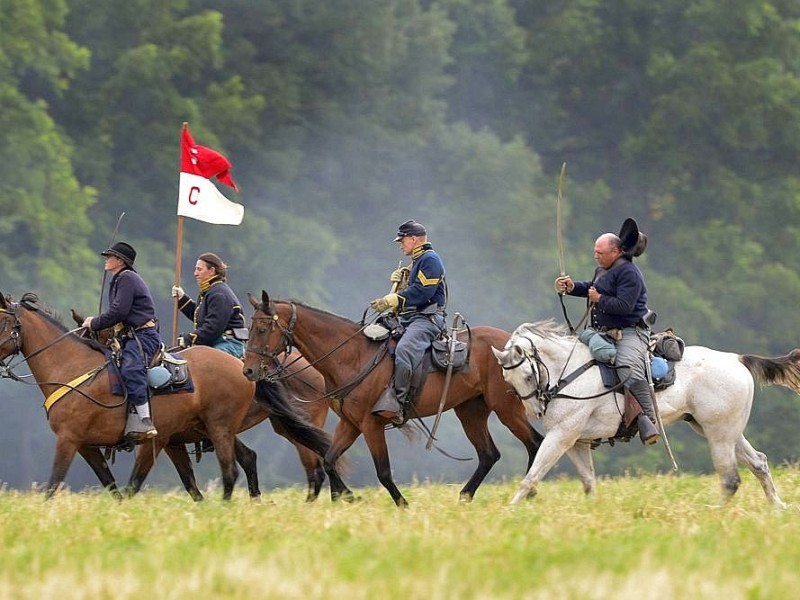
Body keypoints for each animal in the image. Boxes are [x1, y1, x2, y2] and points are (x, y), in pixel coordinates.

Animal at [0, 292, 332, 500]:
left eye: (3, 322)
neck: (74, 366)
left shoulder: (72, 439)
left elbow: (56, 485)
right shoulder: (88, 445)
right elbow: (113, 486)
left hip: (226, 429)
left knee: (308, 468)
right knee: (255, 462)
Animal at [244, 290, 544, 506]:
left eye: (262, 329)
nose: (248, 370)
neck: (351, 355)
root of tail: (514, 344)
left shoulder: (371, 425)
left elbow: (383, 472)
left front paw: (402, 505)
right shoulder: (350, 424)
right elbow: (329, 460)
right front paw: (347, 497)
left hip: (507, 409)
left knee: (535, 442)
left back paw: (527, 492)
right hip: (470, 411)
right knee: (488, 454)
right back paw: (465, 496)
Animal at [490, 322, 800, 508]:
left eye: (528, 375)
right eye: (508, 380)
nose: (536, 411)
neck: (572, 372)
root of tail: (737, 359)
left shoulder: (560, 437)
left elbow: (532, 476)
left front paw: (511, 511)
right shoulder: (576, 442)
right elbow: (589, 483)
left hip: (719, 435)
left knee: (730, 479)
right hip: (720, 431)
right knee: (758, 463)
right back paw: (778, 507)